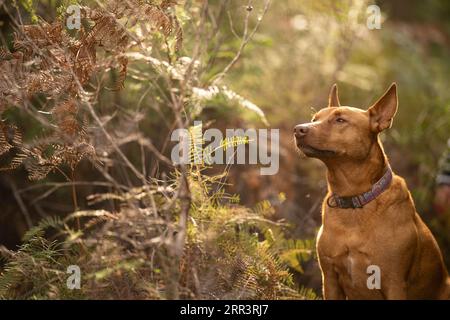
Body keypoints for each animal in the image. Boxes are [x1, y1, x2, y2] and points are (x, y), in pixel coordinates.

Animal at [294, 84, 448, 298]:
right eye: (314, 119)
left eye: (340, 120)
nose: (297, 130)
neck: (353, 199)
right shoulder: (330, 279)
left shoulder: (394, 283)